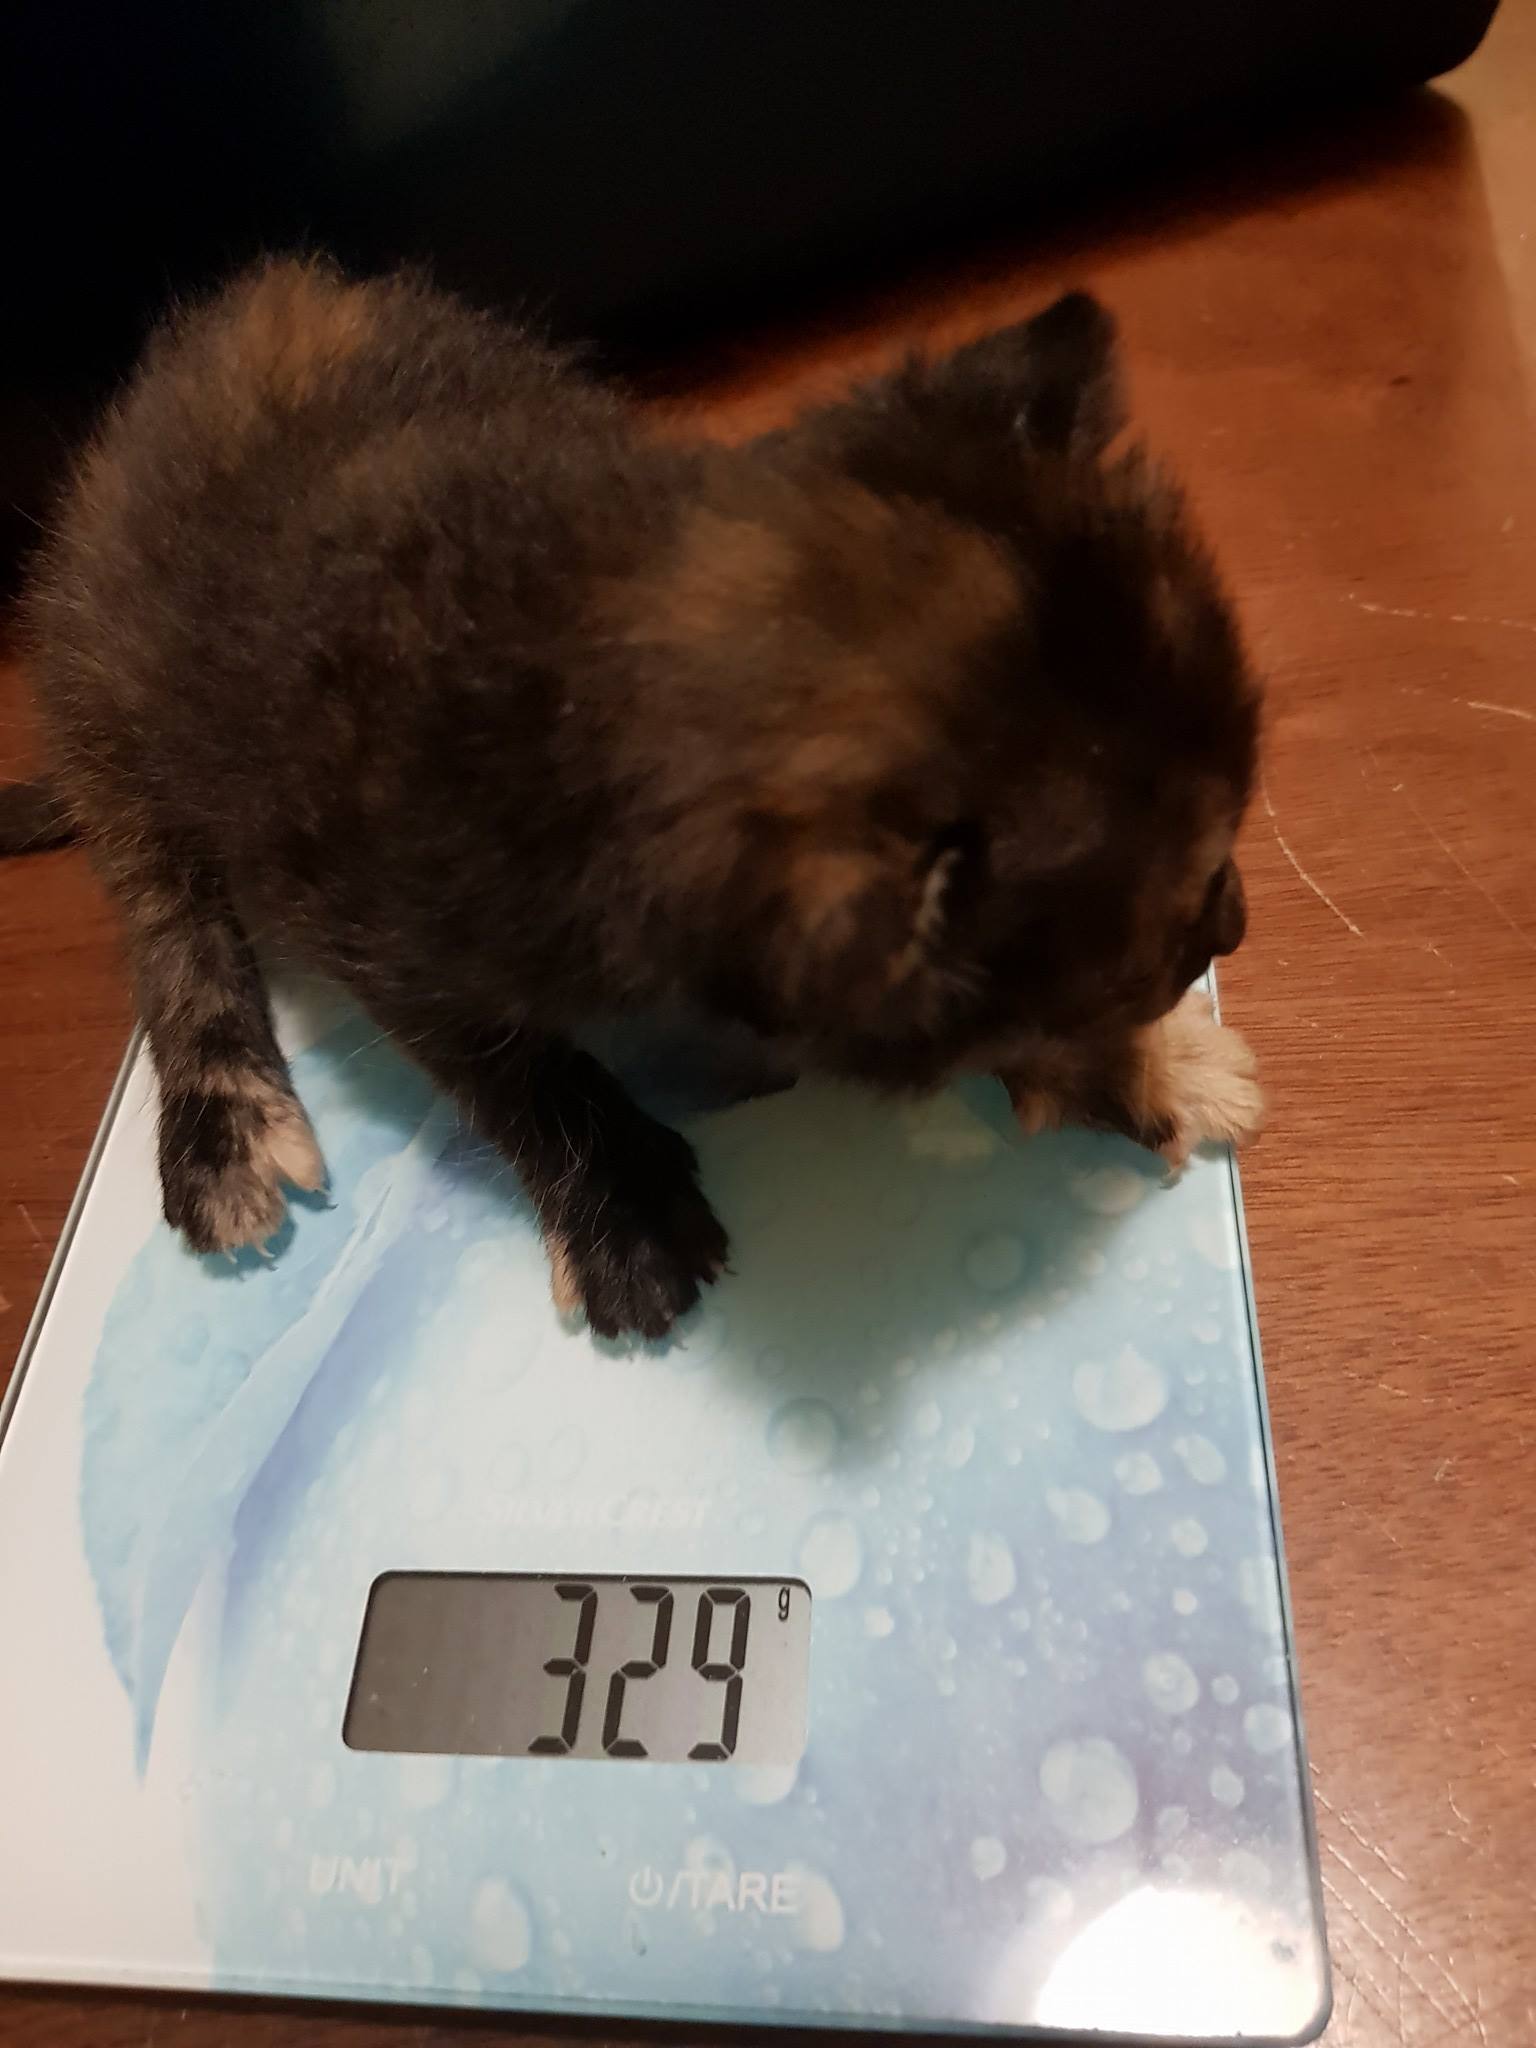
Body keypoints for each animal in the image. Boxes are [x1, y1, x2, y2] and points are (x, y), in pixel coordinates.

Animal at [10, 258, 1261, 1338]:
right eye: (1186, 907)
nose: (1236, 924)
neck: (580, 623)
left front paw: (1142, 1065)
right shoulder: (379, 923)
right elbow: (510, 1063)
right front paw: (626, 1213)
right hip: (108, 690)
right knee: (161, 900)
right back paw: (223, 1116)